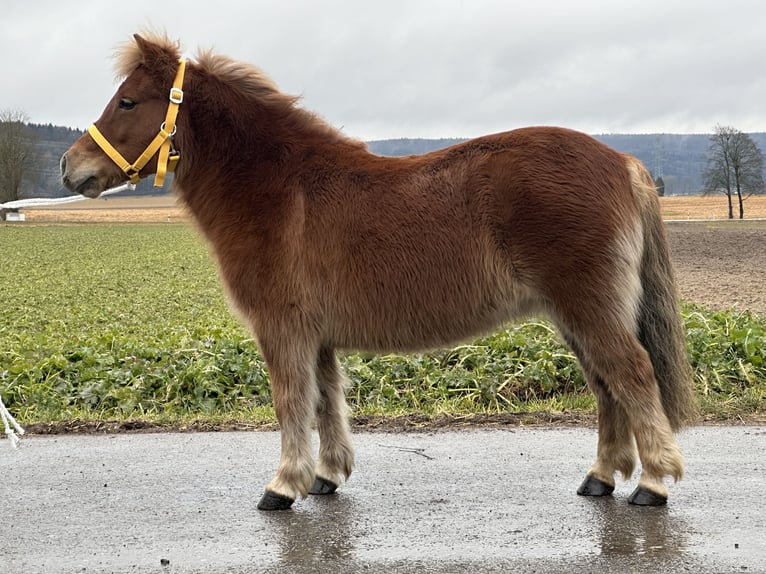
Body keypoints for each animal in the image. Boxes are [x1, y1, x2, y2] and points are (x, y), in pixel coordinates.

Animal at [60, 32, 700, 512]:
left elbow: (291, 401)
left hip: (589, 309)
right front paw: (326, 476)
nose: (70, 167)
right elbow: (326, 400)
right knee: (606, 385)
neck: (279, 187)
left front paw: (283, 485)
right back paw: (601, 477)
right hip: (578, 315)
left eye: (128, 101)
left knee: (632, 375)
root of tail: (623, 162)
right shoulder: (317, 337)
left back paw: (652, 483)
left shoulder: (282, 329)